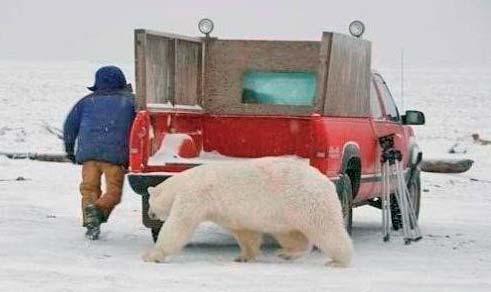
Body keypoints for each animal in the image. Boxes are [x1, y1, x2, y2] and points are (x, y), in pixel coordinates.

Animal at [142, 157, 354, 266]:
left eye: (151, 202)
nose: (151, 214)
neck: (184, 182)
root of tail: (326, 182)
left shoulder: (194, 196)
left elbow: (179, 226)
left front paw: (152, 255)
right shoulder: (231, 213)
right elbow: (245, 233)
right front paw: (244, 256)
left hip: (306, 202)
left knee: (327, 230)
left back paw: (338, 260)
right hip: (285, 212)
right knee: (291, 235)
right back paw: (286, 253)